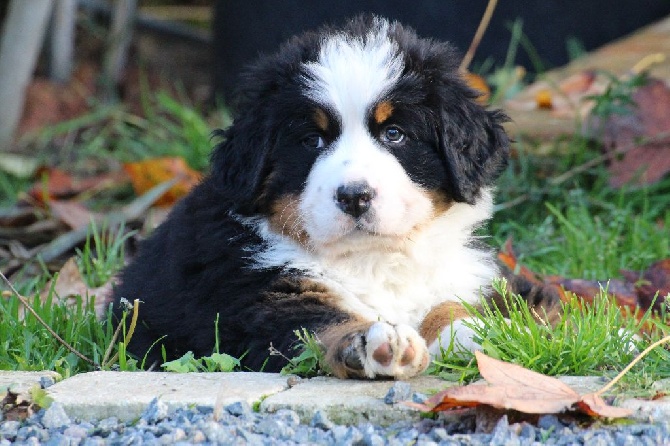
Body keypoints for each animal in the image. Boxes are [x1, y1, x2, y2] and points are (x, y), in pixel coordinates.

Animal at [114, 16, 560, 380]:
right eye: (312, 140)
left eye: (394, 134)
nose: (354, 196)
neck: (373, 259)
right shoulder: (265, 295)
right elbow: (324, 323)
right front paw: (375, 343)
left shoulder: (460, 276)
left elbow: (450, 305)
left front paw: (483, 332)